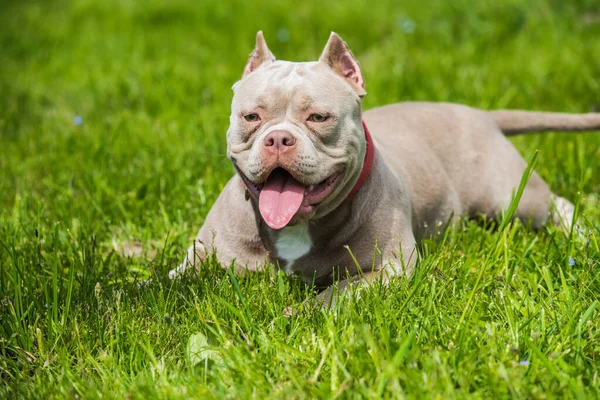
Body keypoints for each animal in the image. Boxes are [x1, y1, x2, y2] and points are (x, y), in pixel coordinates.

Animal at [170, 31, 600, 304]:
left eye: (319, 117)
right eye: (251, 117)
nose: (278, 139)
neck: (296, 226)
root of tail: (480, 113)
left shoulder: (390, 269)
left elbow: (331, 295)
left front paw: (295, 314)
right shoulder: (199, 258)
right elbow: (169, 281)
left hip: (511, 196)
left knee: (556, 204)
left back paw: (582, 235)